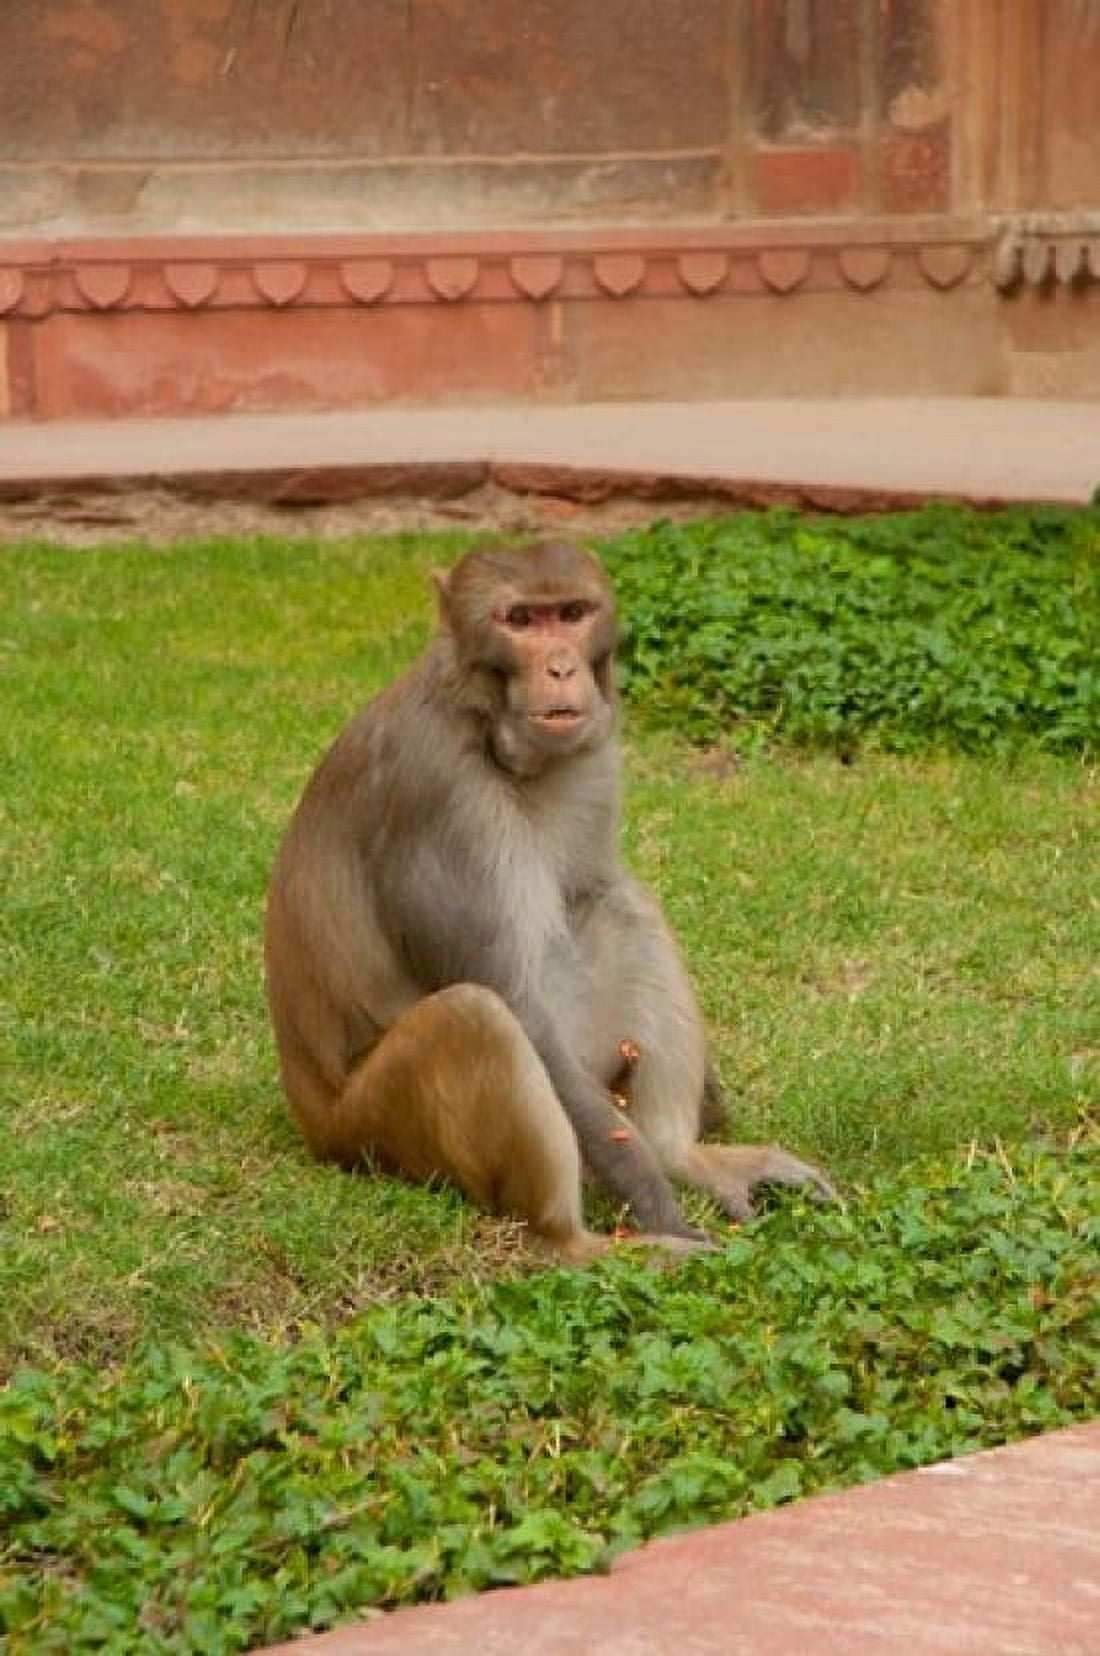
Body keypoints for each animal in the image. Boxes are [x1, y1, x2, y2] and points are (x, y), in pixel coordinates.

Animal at [264, 539, 833, 1261]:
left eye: (570, 613)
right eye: (519, 621)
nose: (561, 667)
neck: (485, 726)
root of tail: (312, 1120)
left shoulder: (594, 749)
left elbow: (591, 890)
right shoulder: (437, 792)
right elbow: (517, 1001)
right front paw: (655, 1202)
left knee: (622, 908)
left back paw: (683, 1154)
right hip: (376, 1128)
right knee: (476, 1017)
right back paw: (582, 1242)